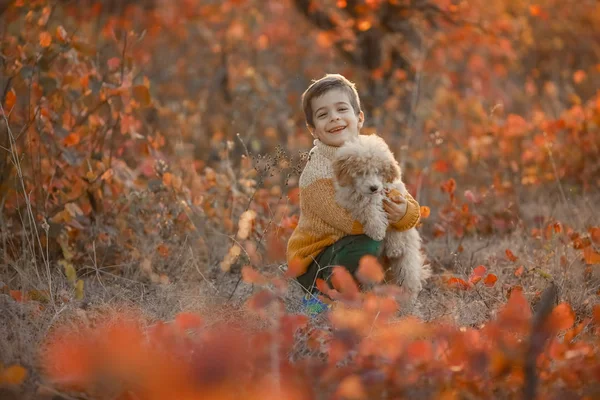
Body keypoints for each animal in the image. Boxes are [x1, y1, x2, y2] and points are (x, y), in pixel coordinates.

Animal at [332, 134, 432, 300]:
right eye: (361, 172)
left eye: (378, 171)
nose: (374, 187)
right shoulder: (351, 201)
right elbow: (367, 208)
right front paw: (377, 229)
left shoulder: (396, 196)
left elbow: (396, 227)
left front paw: (395, 247)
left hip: (407, 265)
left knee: (408, 282)